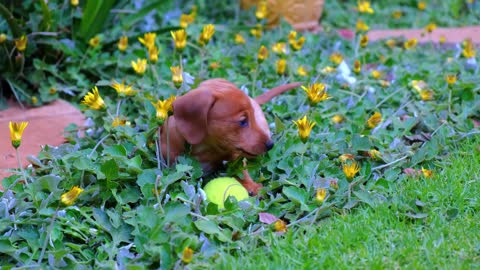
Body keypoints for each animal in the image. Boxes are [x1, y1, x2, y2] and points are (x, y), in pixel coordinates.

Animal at [161, 78, 300, 194]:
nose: (271, 145)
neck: (205, 148)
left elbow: (241, 170)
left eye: (252, 116)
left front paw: (252, 186)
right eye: (243, 121)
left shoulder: (236, 156)